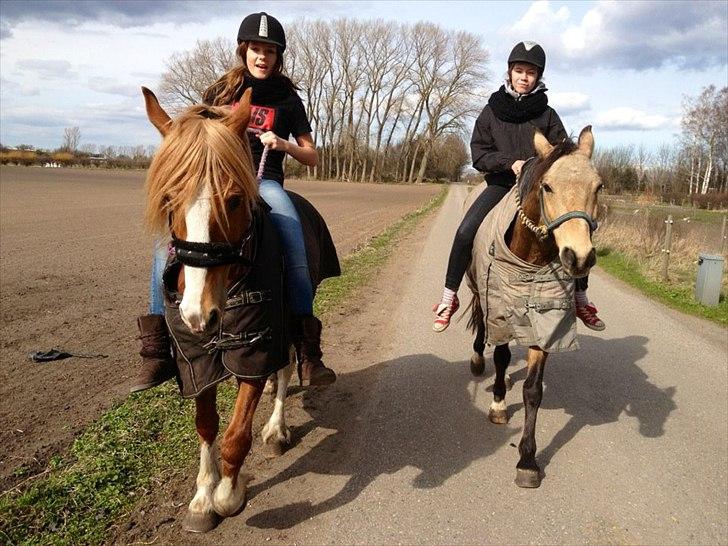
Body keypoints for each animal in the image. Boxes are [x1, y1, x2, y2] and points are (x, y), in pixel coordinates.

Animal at [141, 87, 338, 528]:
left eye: (233, 200)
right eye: (168, 198)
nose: (198, 313)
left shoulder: (255, 346)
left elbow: (236, 435)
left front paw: (228, 493)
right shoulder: (195, 357)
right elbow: (206, 423)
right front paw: (201, 496)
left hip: (288, 318)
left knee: (287, 364)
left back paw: (278, 429)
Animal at [466, 126, 604, 484]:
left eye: (598, 186)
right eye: (547, 186)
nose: (579, 257)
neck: (529, 258)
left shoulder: (547, 322)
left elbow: (533, 390)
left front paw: (527, 460)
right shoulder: (499, 310)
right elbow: (501, 357)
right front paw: (498, 405)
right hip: (478, 291)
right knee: (481, 325)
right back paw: (477, 360)